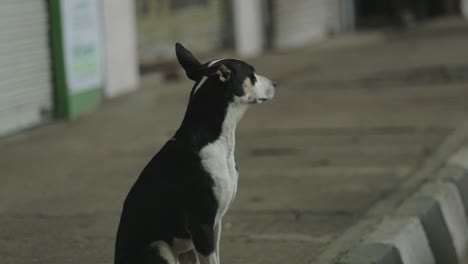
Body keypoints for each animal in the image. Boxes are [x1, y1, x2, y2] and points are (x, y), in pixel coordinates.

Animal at [114, 42, 276, 262]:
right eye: (251, 74)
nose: (275, 84)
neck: (218, 142)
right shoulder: (201, 225)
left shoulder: (216, 224)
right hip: (159, 247)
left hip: (185, 251)